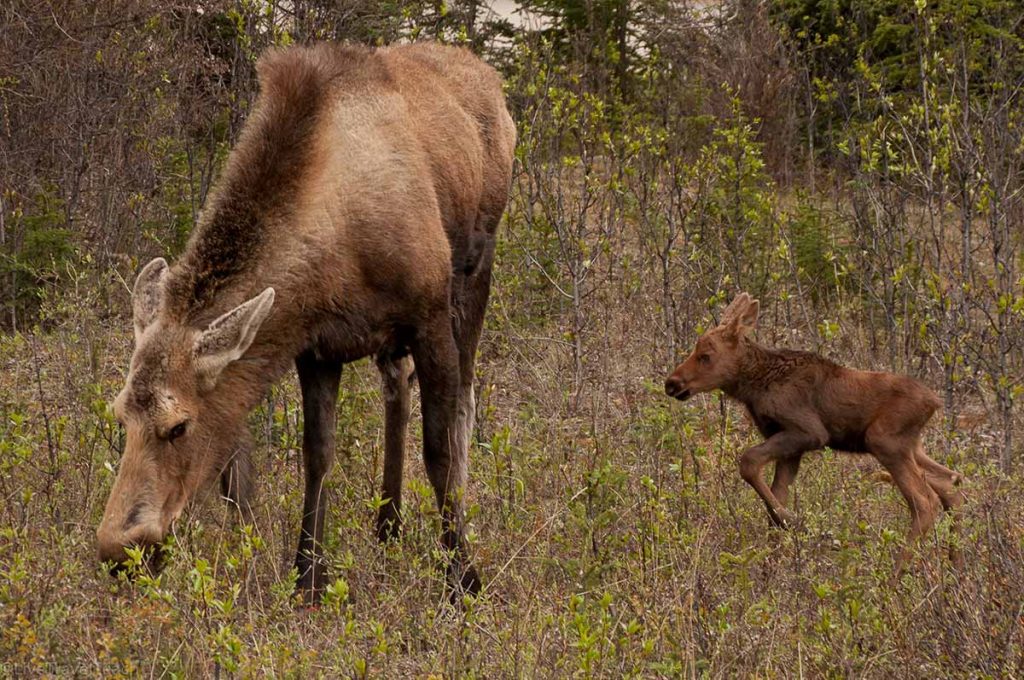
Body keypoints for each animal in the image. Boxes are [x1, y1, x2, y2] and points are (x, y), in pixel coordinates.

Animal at [96, 43, 516, 604]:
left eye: (178, 425)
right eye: (121, 416)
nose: (120, 551)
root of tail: (491, 79)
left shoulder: (428, 316)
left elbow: (440, 450)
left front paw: (463, 581)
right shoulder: (318, 346)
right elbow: (317, 455)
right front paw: (308, 578)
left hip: (474, 274)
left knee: (465, 403)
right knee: (396, 390)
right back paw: (388, 525)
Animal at [664, 293, 965, 573]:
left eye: (705, 356)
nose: (672, 383)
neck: (754, 385)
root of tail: (934, 402)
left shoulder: (809, 431)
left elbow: (749, 463)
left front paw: (800, 524)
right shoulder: (790, 447)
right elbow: (775, 497)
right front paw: (772, 566)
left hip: (885, 441)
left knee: (925, 500)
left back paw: (894, 577)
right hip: (912, 446)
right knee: (951, 483)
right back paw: (955, 567)